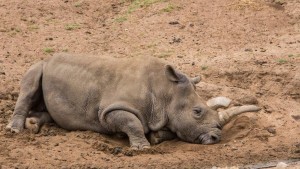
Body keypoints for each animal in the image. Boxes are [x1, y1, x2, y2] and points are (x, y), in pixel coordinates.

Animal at [6, 52, 260, 149]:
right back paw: (15, 130)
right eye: (197, 112)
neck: (165, 90)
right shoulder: (109, 110)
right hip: (40, 64)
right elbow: (131, 122)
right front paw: (142, 147)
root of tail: (49, 58)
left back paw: (34, 124)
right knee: (30, 83)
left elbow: (165, 128)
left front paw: (156, 137)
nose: (217, 137)